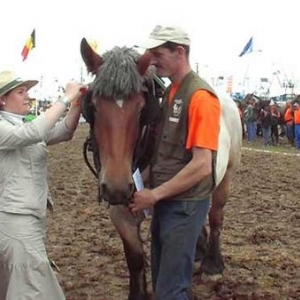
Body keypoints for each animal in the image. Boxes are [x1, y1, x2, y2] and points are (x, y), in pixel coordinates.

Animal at [80, 38, 244, 300]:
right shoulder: (119, 209)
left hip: (227, 175)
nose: (117, 188)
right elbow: (135, 258)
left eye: (141, 108)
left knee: (216, 216)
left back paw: (212, 264)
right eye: (93, 106)